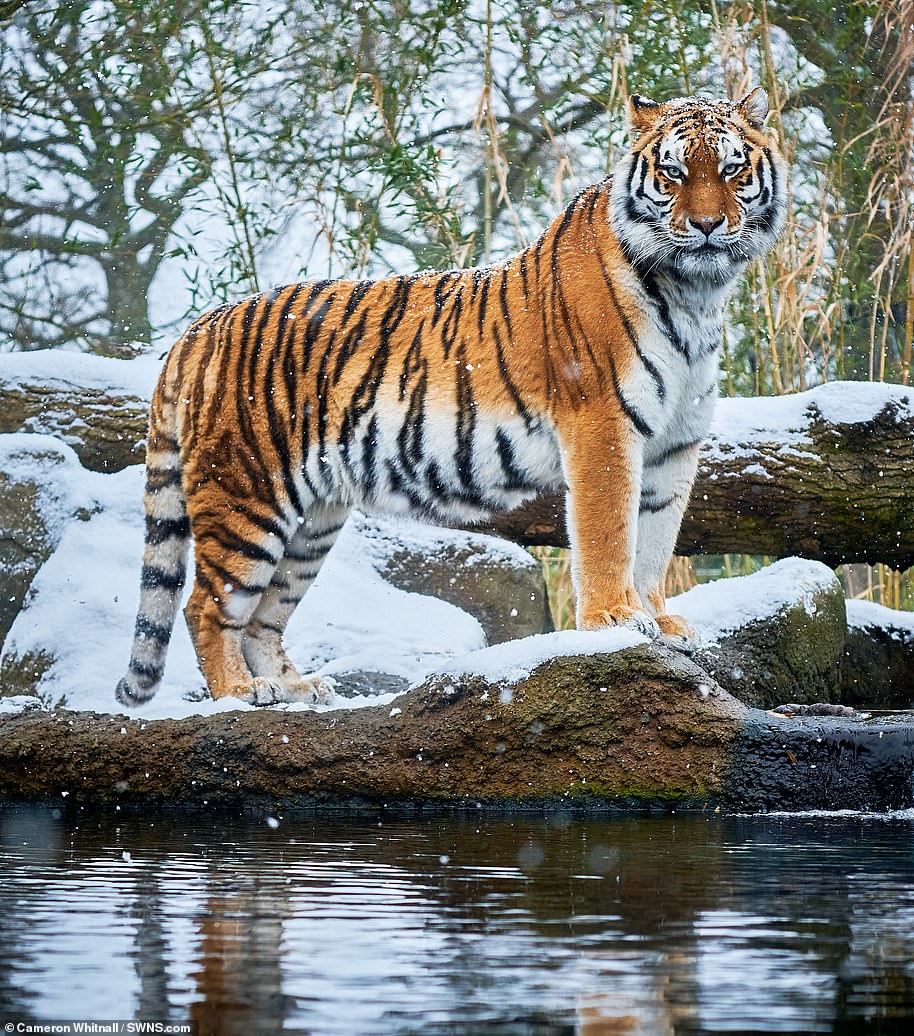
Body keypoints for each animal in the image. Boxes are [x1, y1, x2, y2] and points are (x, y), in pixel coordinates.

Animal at [116, 88, 786, 707]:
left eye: (732, 169)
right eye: (673, 173)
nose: (707, 226)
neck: (696, 294)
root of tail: (198, 330)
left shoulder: (675, 444)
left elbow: (655, 539)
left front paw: (660, 621)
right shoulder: (603, 424)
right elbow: (608, 533)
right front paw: (613, 621)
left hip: (313, 520)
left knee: (263, 614)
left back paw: (296, 688)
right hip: (246, 492)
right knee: (207, 605)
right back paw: (240, 693)